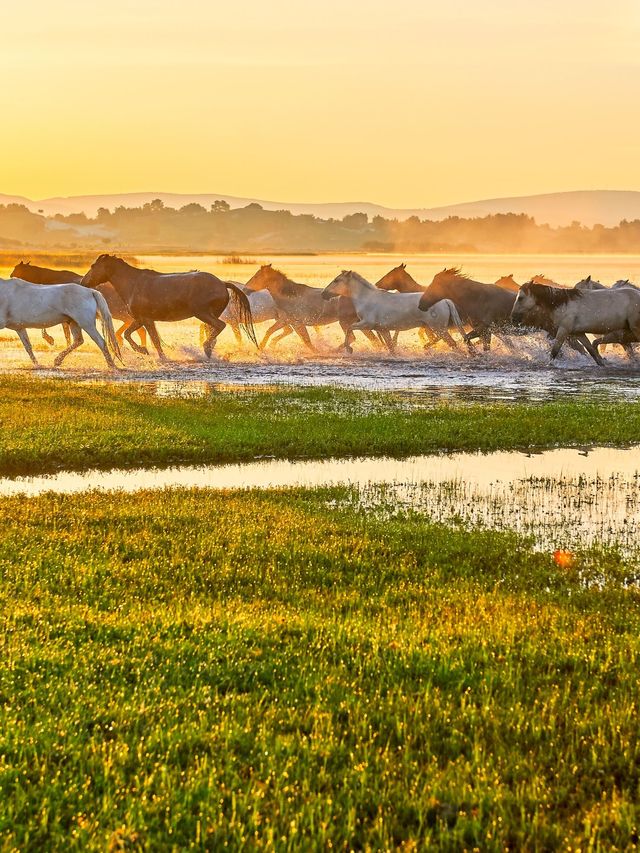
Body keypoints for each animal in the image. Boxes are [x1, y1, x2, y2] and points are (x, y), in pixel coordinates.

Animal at [11, 262, 148, 352]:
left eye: (17, 269)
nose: (11, 276)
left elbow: (65, 333)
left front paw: (52, 340)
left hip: (119, 313)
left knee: (139, 328)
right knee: (139, 329)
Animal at [81, 253, 256, 360]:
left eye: (93, 266)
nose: (83, 282)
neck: (133, 284)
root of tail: (222, 283)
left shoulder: (146, 319)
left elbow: (153, 339)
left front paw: (156, 354)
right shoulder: (141, 319)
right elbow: (130, 334)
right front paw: (144, 350)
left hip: (203, 313)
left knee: (220, 326)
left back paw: (206, 348)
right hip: (209, 315)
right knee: (213, 331)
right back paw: (209, 351)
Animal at [322, 272, 468, 352]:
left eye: (336, 280)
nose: (324, 294)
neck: (367, 299)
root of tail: (445, 300)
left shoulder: (366, 323)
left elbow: (349, 329)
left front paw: (349, 350)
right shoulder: (382, 329)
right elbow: (390, 347)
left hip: (438, 328)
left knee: (452, 344)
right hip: (432, 327)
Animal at [512, 282, 640, 366]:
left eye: (521, 298)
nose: (513, 317)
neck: (563, 304)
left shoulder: (563, 330)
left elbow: (554, 351)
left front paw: (549, 364)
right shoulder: (578, 333)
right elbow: (592, 351)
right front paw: (602, 363)